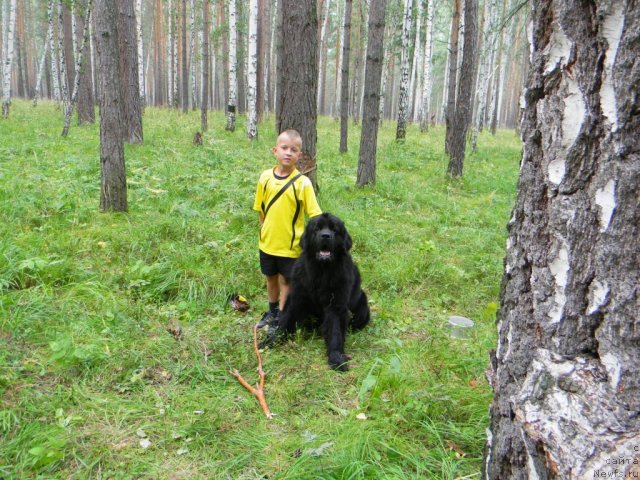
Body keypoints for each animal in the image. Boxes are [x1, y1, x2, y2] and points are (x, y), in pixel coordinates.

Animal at [258, 213, 370, 372]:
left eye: (334, 229)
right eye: (317, 229)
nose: (325, 236)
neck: (321, 271)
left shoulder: (336, 304)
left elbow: (335, 331)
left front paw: (336, 357)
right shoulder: (296, 297)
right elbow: (286, 320)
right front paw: (271, 341)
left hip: (361, 308)